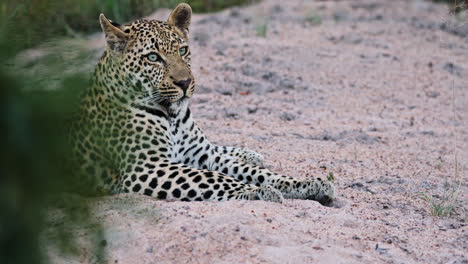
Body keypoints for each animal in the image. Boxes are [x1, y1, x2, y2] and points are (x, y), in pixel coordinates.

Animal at [67, 3, 334, 204]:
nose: (185, 82)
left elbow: (253, 172)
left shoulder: (201, 154)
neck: (172, 115)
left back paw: (250, 153)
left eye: (183, 50)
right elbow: (213, 178)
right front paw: (257, 192)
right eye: (153, 57)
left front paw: (307, 183)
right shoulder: (147, 167)